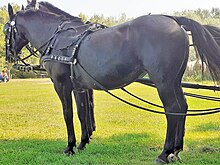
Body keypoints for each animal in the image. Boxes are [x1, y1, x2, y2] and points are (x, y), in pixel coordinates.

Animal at [3, 2, 220, 164]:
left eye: (6, 30)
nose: (9, 56)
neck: (58, 38)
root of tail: (173, 20)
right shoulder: (80, 87)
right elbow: (82, 113)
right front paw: (83, 143)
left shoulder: (61, 84)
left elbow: (68, 114)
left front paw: (70, 146)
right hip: (174, 80)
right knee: (182, 107)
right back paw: (176, 149)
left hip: (163, 81)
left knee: (172, 109)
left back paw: (165, 152)